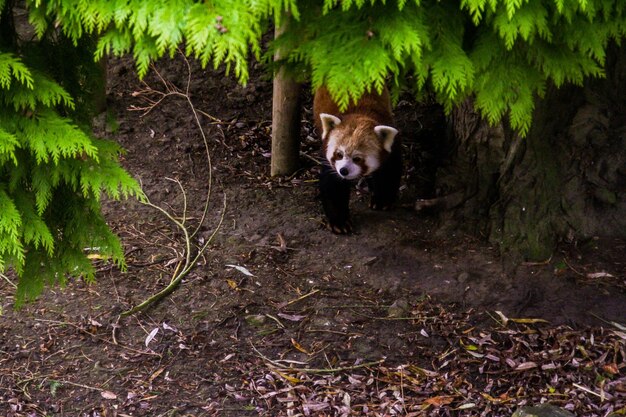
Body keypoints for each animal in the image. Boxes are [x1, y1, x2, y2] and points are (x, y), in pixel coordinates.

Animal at [312, 85, 400, 234]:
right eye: (339, 154)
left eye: (357, 159)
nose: (344, 171)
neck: (359, 113)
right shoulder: (328, 156)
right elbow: (333, 186)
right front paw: (340, 222)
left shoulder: (391, 148)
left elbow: (388, 172)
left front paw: (382, 199)